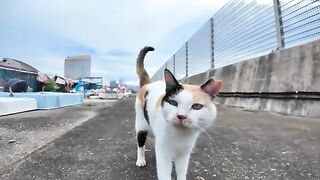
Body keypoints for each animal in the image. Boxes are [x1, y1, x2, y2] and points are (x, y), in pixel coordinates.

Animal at [135, 46, 222, 180]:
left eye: (196, 106)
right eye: (173, 103)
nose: (181, 116)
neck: (181, 135)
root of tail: (148, 84)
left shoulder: (184, 153)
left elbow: (181, 171)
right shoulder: (164, 152)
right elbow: (164, 173)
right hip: (141, 124)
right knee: (140, 143)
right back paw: (140, 160)